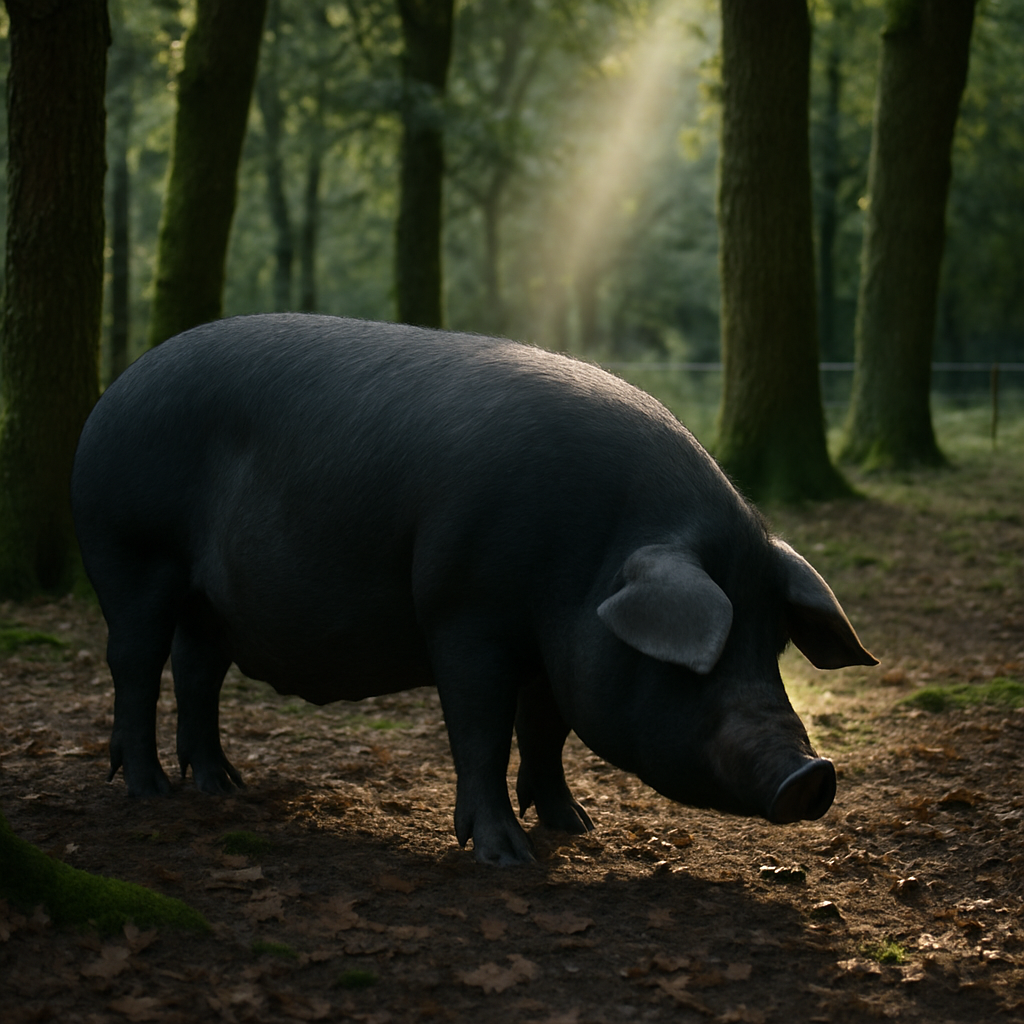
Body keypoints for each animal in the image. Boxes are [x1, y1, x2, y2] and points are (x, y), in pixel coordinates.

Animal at [71, 314, 876, 865]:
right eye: (698, 663)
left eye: (773, 647)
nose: (812, 774)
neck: (593, 554)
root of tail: (112, 395)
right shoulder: (465, 613)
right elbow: (482, 731)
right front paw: (506, 858)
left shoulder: (554, 648)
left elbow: (545, 730)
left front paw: (575, 825)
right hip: (129, 551)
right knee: (134, 666)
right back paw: (150, 791)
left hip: (212, 603)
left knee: (197, 672)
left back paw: (222, 786)